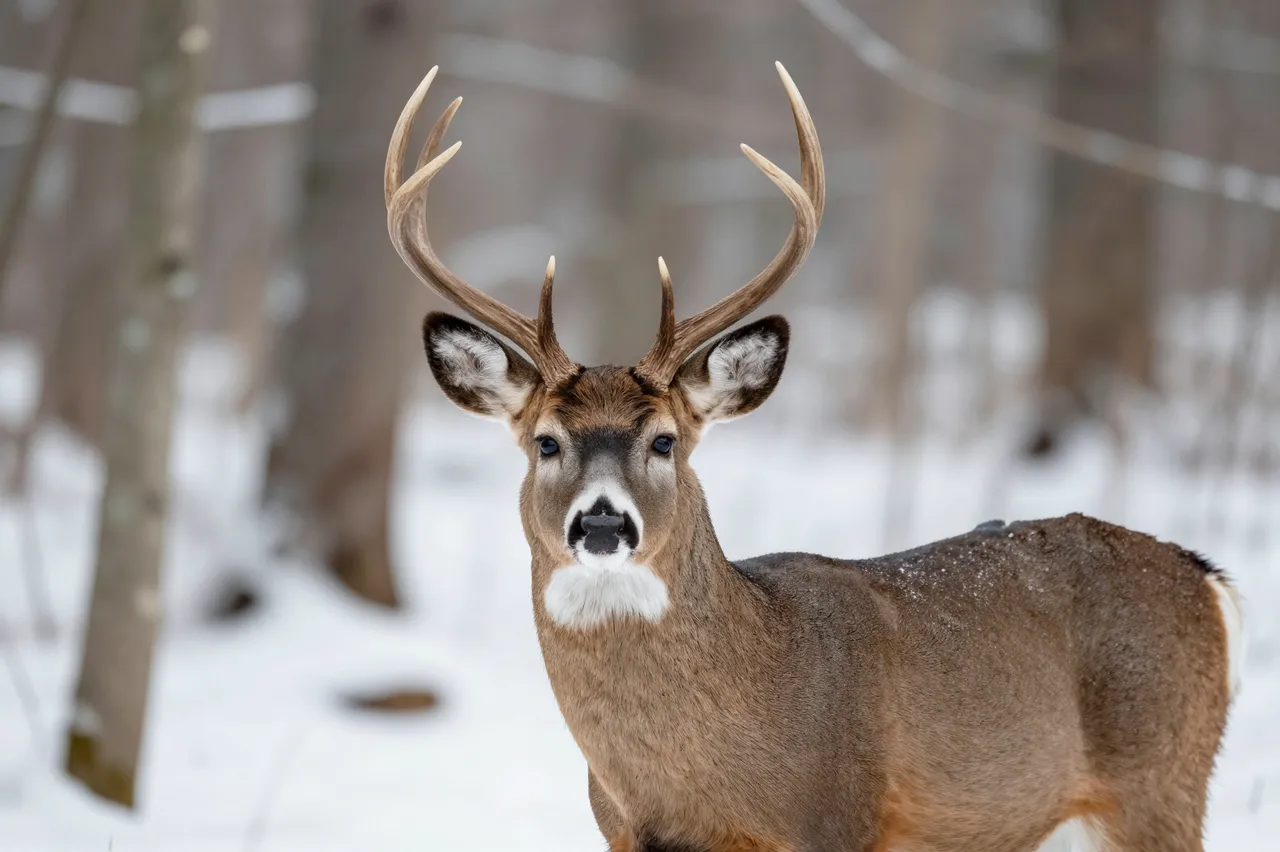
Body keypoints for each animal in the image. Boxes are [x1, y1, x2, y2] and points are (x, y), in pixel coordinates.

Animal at [384, 63, 1245, 852]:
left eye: (664, 439)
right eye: (546, 442)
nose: (602, 524)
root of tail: (1205, 577)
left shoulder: (838, 813)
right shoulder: (616, 830)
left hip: (1159, 778)